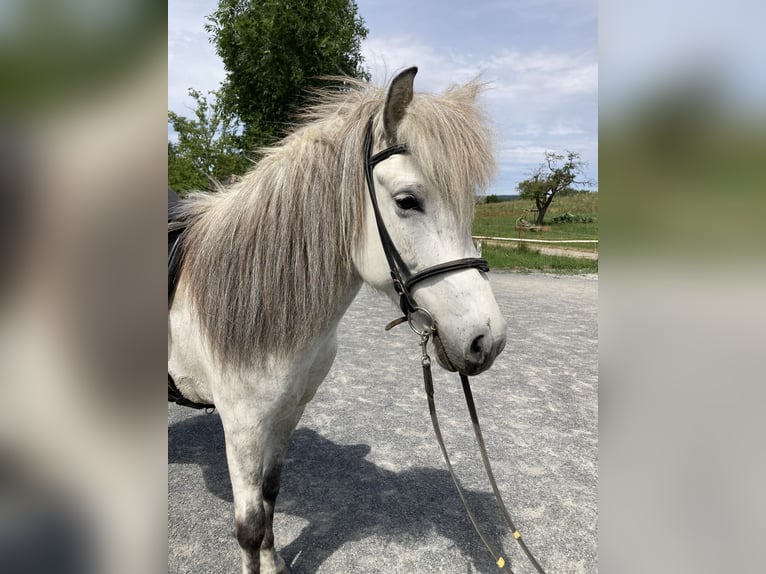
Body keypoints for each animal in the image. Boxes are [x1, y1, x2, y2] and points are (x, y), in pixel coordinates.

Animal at [168, 67, 508, 574]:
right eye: (407, 200)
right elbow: (249, 526)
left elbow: (270, 497)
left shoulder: (287, 413)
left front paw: (276, 564)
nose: (488, 340)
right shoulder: (242, 427)